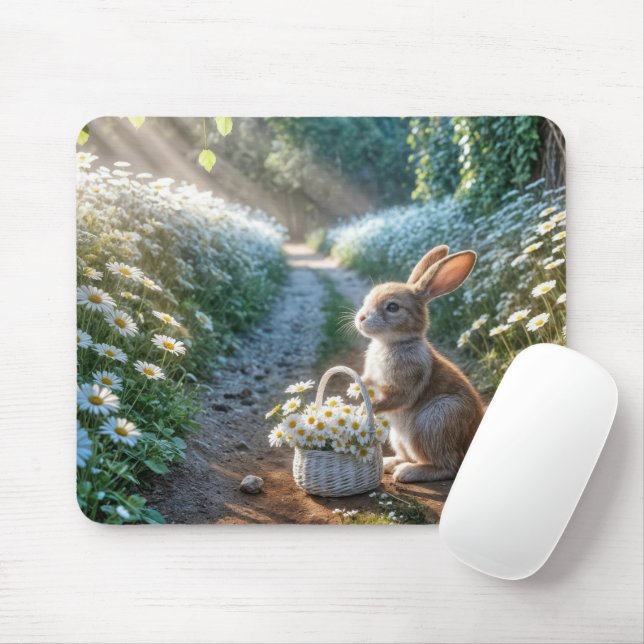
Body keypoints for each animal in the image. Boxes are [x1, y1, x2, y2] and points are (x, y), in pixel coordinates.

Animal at [355, 245, 484, 483]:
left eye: (393, 307)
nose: (360, 318)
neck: (393, 342)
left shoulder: (405, 384)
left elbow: (393, 398)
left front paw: (366, 408)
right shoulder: (373, 376)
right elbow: (365, 380)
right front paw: (355, 392)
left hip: (435, 421)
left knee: (448, 466)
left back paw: (406, 473)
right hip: (399, 438)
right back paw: (391, 463)